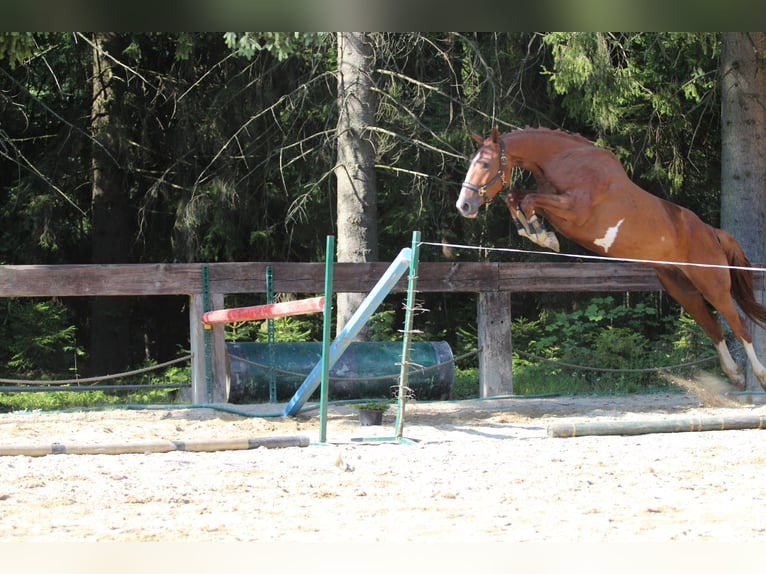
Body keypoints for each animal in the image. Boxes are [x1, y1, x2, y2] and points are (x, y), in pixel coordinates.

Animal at [460, 127, 766, 392]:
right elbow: (516, 197)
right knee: (713, 326)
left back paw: (759, 377)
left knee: (740, 325)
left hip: (713, 286)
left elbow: (528, 200)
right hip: (682, 289)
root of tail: (711, 232)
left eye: (485, 164)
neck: (564, 161)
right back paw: (735, 376)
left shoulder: (575, 210)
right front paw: (537, 232)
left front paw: (542, 236)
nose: (464, 206)